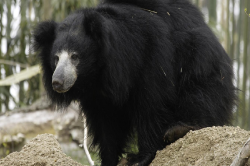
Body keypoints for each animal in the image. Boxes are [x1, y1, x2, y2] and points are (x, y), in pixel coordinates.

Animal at [33, 0, 236, 165]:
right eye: (56, 58)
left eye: (75, 57)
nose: (57, 82)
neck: (100, 73)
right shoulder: (98, 95)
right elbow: (106, 123)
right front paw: (110, 160)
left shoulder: (150, 56)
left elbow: (151, 103)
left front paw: (140, 158)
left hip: (198, 57)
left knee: (200, 92)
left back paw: (181, 129)